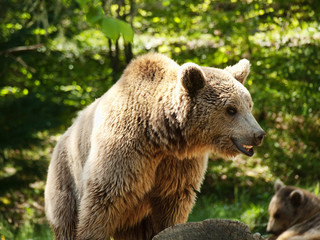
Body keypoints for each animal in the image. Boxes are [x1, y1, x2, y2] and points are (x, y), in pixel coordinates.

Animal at [44, 53, 264, 240]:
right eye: (231, 109)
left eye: (249, 105)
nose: (258, 134)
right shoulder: (124, 152)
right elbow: (102, 201)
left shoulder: (178, 164)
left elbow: (173, 203)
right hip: (65, 179)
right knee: (66, 222)